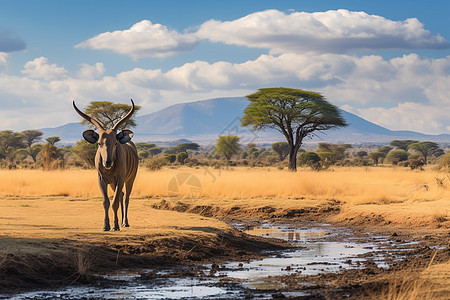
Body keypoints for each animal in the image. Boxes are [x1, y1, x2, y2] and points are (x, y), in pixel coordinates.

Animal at [73, 99, 139, 231]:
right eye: (99, 143)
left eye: (115, 143)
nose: (107, 162)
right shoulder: (102, 179)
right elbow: (106, 202)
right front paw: (106, 226)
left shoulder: (120, 178)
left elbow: (114, 203)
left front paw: (115, 226)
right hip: (113, 183)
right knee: (121, 195)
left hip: (130, 179)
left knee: (126, 197)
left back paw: (125, 222)